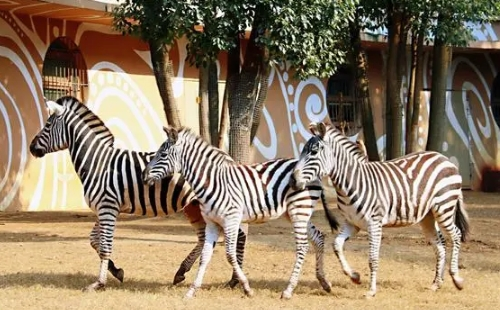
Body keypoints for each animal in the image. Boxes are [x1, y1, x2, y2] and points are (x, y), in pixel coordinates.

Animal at [28, 95, 248, 292]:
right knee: (204, 238)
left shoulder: (107, 207)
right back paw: (182, 273)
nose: (31, 147)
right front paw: (116, 271)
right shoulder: (103, 208)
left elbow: (105, 245)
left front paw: (99, 283)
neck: (98, 162)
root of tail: (227, 156)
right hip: (194, 205)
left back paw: (234, 280)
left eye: (48, 125)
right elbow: (94, 241)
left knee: (238, 234)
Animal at [143, 125, 342, 298]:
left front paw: (246, 287)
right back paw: (324, 282)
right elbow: (205, 256)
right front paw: (192, 291)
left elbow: (230, 255)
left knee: (302, 246)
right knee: (318, 237)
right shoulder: (212, 223)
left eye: (162, 154)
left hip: (299, 209)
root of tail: (316, 173)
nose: (144, 177)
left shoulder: (231, 219)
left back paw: (289, 290)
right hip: (295, 212)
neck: (212, 181)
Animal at [292, 121, 470, 298]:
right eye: (303, 151)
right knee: (439, 244)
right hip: (428, 216)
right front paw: (354, 276)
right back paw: (436, 283)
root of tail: (443, 158)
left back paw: (457, 279)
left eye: (314, 152)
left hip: (444, 207)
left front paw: (371, 291)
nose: (293, 179)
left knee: (456, 235)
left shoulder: (374, 223)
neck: (351, 183)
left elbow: (372, 259)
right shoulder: (352, 223)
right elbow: (336, 245)